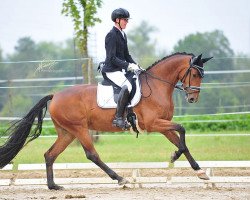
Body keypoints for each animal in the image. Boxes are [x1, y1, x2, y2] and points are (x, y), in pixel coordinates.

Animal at [0, 51, 212, 189]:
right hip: (79, 129)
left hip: (67, 133)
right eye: (194, 74)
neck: (157, 86)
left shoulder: (163, 126)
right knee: (92, 155)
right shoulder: (153, 124)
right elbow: (182, 129)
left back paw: (53, 186)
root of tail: (55, 95)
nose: (192, 99)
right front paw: (175, 157)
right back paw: (119, 179)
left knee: (50, 155)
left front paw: (199, 171)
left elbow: (181, 141)